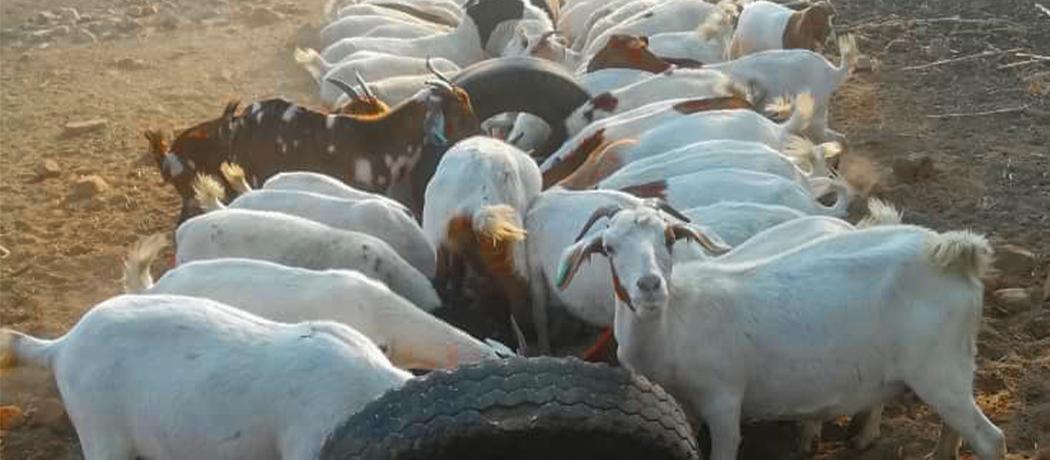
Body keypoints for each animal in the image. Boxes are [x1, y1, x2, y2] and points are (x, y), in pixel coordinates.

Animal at [558, 217, 1006, 460]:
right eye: (608, 248)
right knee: (954, 425)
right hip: (944, 369)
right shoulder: (681, 403)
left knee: (991, 440)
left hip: (939, 366)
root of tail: (949, 252)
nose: (649, 286)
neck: (676, 320)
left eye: (668, 238)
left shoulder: (723, 398)